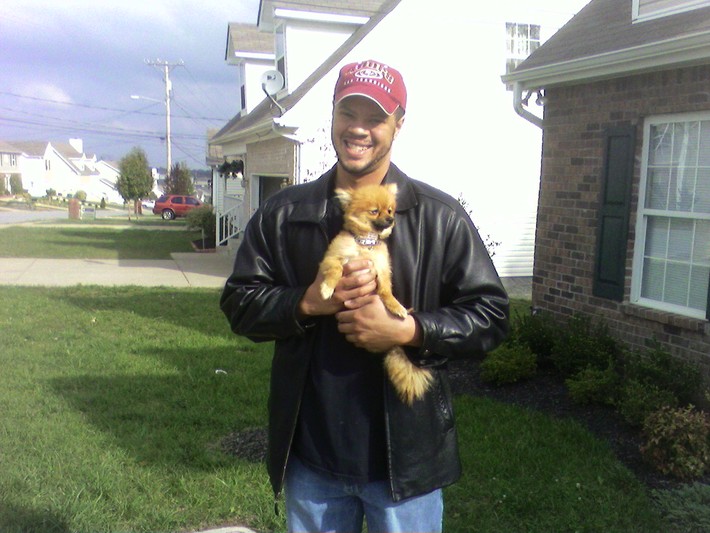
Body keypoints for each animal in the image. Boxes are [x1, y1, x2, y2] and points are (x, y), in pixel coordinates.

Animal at [318, 183, 432, 404]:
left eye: (390, 210)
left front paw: (396, 307)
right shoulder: (333, 257)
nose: (390, 220)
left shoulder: (382, 269)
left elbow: (386, 291)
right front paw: (327, 288)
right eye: (374, 211)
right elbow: (335, 270)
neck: (365, 244)